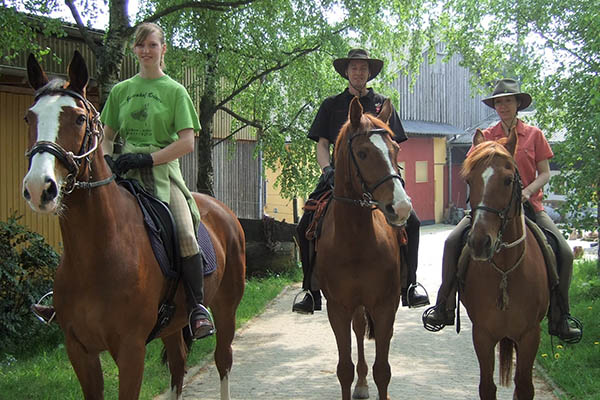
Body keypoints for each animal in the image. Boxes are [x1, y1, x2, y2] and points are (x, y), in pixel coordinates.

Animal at [21, 51, 246, 398]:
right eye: (29, 118)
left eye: (79, 119)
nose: (39, 187)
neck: (97, 253)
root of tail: (225, 212)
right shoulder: (80, 351)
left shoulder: (131, 350)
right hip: (173, 325)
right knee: (178, 364)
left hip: (225, 309)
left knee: (223, 360)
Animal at [316, 97, 410, 400]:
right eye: (363, 152)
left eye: (396, 149)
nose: (401, 207)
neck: (356, 241)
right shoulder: (338, 308)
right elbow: (344, 368)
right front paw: (355, 380)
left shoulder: (385, 305)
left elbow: (383, 370)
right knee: (358, 329)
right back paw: (360, 383)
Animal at [462, 129, 552, 400]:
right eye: (469, 180)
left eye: (508, 180)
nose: (479, 242)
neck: (505, 270)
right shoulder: (482, 334)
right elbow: (487, 387)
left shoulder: (530, 335)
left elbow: (524, 387)